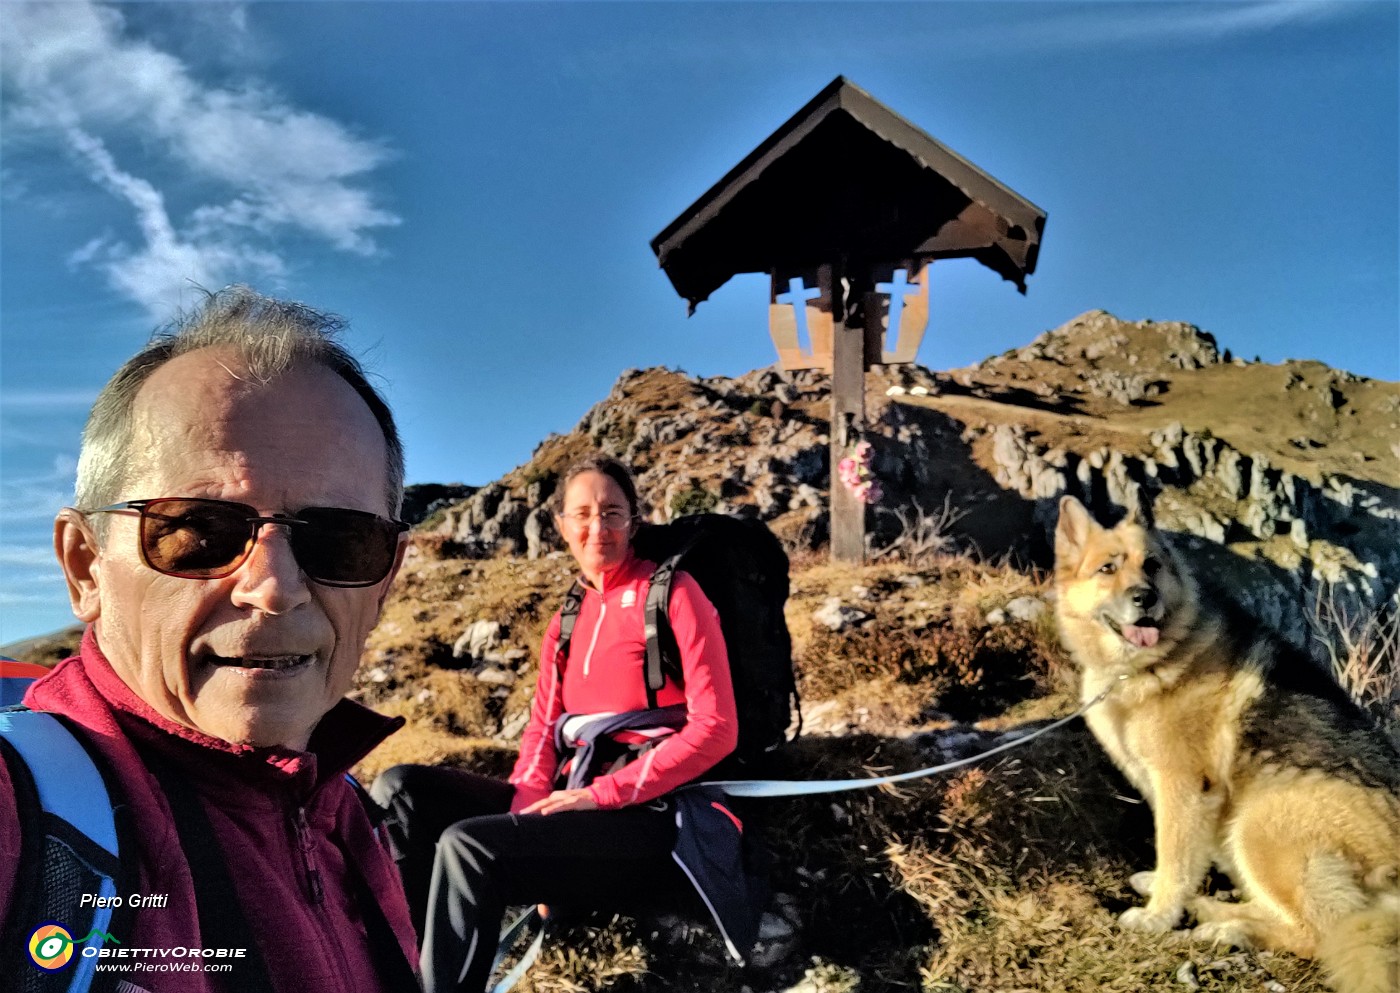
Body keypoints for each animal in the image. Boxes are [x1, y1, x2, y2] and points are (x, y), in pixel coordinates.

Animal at [1052, 495, 1394, 991]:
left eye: (1151, 565)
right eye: (1107, 568)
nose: (1145, 598)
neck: (1152, 663)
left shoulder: (1182, 785)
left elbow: (1176, 856)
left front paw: (1158, 916)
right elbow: (1178, 857)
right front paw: (1169, 894)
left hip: (1261, 823)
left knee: (1318, 934)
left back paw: (1228, 928)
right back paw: (1213, 912)